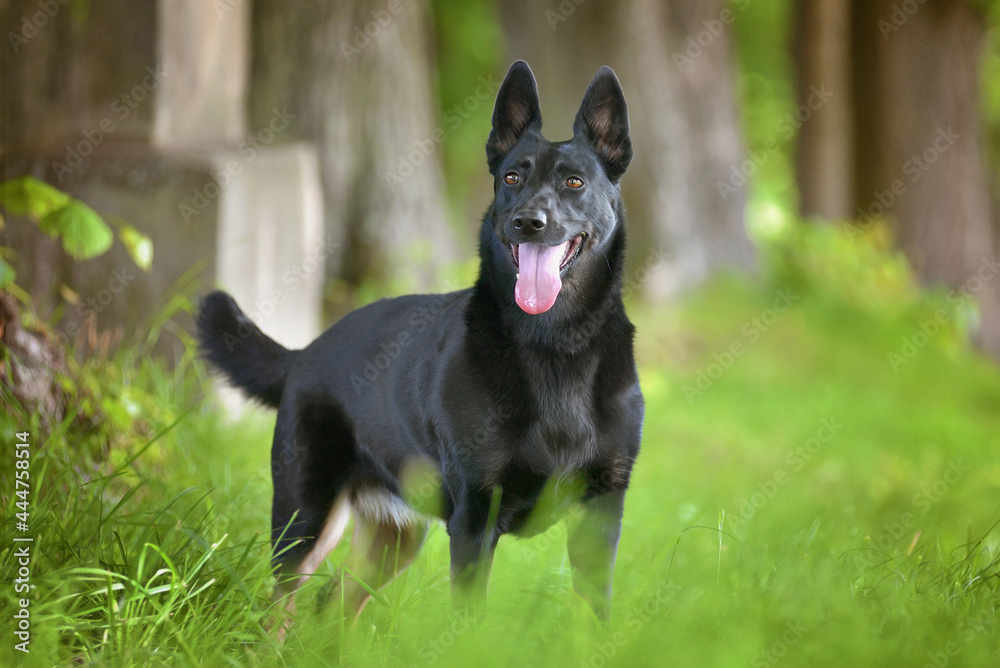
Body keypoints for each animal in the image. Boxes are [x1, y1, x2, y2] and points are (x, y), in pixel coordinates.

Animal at [199, 60, 644, 624]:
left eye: (573, 182)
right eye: (512, 178)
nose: (527, 221)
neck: (557, 343)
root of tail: (305, 353)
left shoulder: (600, 517)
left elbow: (593, 618)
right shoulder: (474, 521)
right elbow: (469, 619)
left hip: (393, 539)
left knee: (331, 603)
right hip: (306, 518)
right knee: (282, 606)